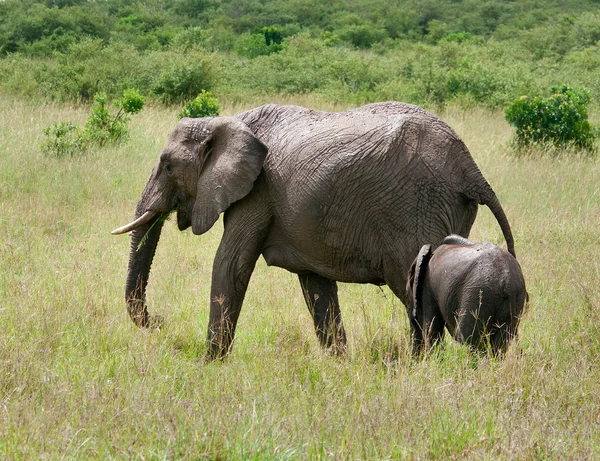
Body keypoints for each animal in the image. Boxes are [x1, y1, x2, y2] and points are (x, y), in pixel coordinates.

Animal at [112, 101, 516, 360]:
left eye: (167, 165)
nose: (158, 321)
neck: (226, 120)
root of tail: (469, 167)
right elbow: (316, 287)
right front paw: (338, 364)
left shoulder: (257, 193)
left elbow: (230, 264)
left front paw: (209, 364)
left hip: (418, 207)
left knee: (415, 293)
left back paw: (420, 366)